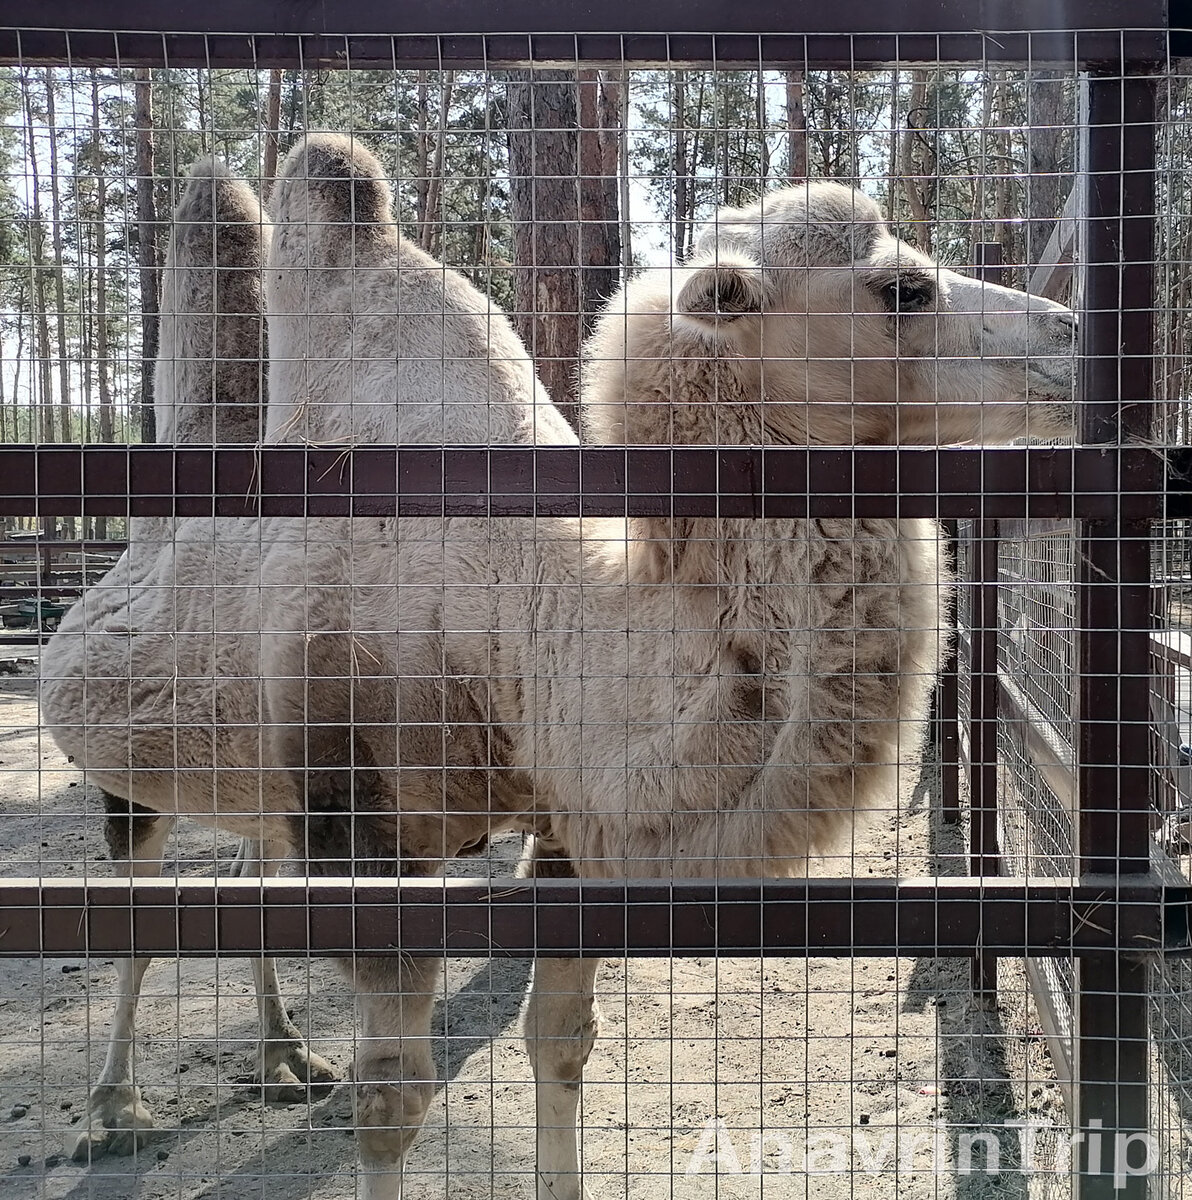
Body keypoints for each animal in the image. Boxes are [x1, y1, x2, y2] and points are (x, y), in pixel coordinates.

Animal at [42, 133, 1075, 1200]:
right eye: (902, 287)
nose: (1073, 331)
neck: (523, 609)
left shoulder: (571, 815)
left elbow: (562, 1038)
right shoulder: (364, 818)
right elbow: (393, 1100)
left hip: (254, 774)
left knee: (249, 874)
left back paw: (283, 1055)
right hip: (130, 774)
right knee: (136, 913)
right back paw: (115, 1108)